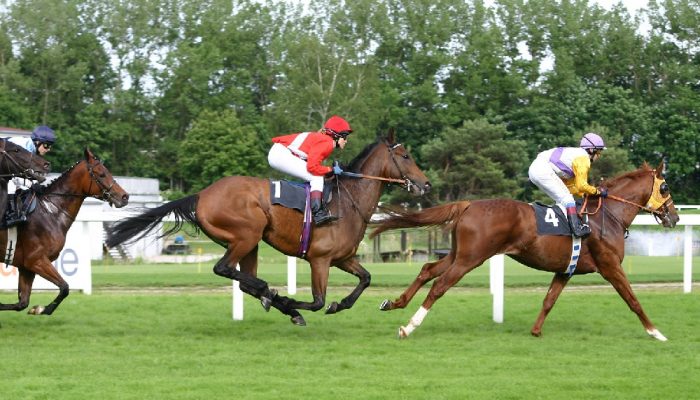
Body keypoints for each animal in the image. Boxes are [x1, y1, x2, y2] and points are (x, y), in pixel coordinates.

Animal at [0, 149, 130, 316]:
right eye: (101, 174)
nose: (124, 196)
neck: (50, 212)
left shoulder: (26, 266)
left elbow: (22, 303)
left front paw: (36, 309)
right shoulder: (36, 260)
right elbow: (65, 287)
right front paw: (42, 309)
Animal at [106, 130, 430, 326]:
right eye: (405, 156)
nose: (425, 184)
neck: (348, 201)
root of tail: (201, 194)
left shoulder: (343, 258)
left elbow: (366, 279)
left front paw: (338, 305)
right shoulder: (320, 259)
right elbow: (317, 301)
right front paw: (293, 302)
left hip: (249, 242)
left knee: (241, 278)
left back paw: (269, 295)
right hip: (247, 234)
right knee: (225, 269)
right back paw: (274, 296)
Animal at [372, 162, 680, 340]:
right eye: (665, 187)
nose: (675, 217)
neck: (608, 215)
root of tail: (469, 204)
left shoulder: (565, 270)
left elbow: (549, 300)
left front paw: (535, 330)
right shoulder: (610, 266)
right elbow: (633, 299)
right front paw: (656, 332)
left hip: (459, 253)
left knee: (427, 270)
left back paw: (394, 303)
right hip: (471, 258)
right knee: (440, 285)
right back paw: (409, 327)